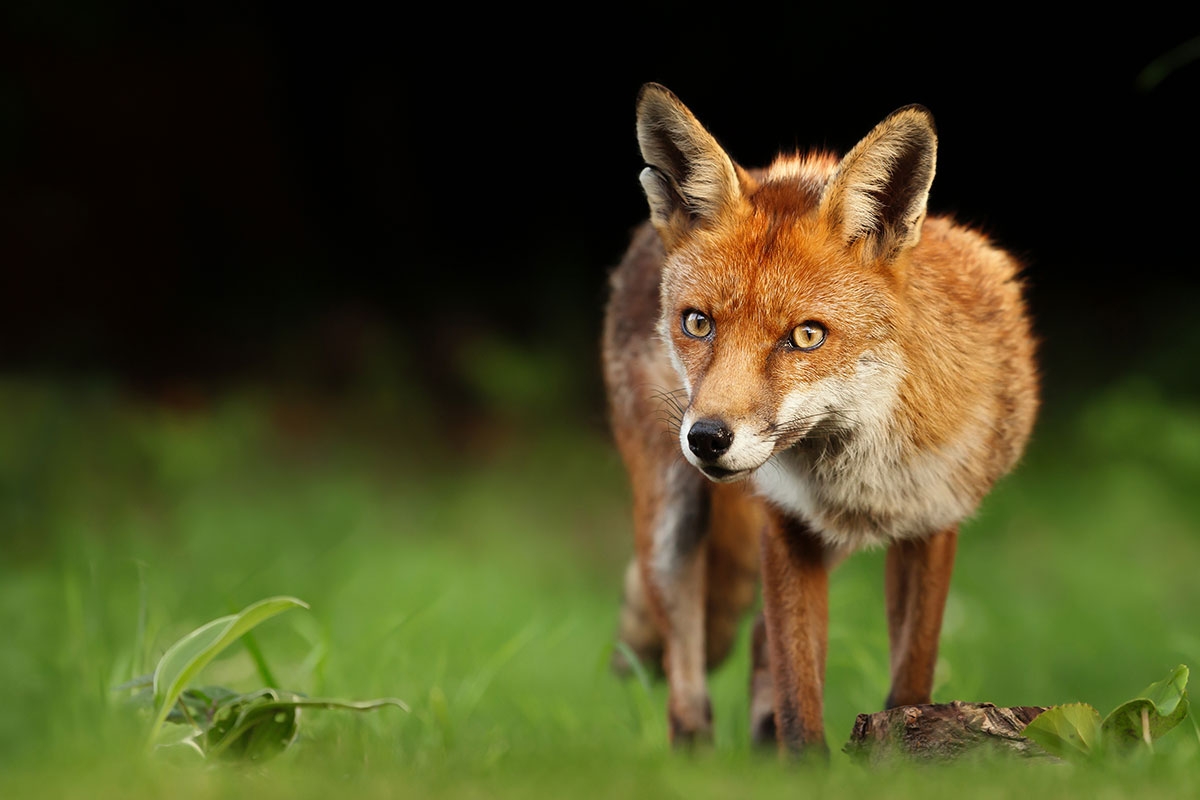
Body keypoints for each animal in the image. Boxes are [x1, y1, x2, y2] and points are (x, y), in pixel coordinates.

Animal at [604, 82, 1036, 758]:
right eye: (697, 323)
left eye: (807, 336)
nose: (707, 439)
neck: (867, 458)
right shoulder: (784, 521)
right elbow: (798, 688)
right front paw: (805, 765)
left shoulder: (934, 520)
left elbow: (910, 673)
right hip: (672, 517)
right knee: (686, 654)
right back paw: (694, 755)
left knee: (755, 640)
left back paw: (757, 743)